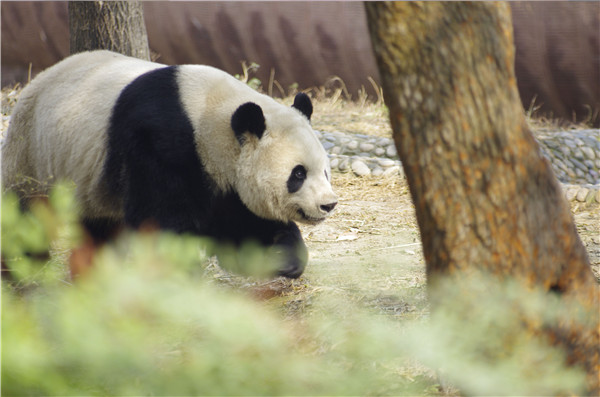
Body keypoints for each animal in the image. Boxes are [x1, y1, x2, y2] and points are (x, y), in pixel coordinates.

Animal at [1, 50, 338, 278]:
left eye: (325, 171)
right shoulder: (160, 141)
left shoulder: (221, 173)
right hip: (32, 154)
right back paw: (22, 264)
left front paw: (281, 254)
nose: (328, 204)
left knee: (97, 227)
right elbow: (161, 218)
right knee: (24, 213)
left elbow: (241, 221)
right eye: (298, 174)